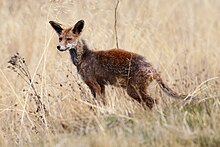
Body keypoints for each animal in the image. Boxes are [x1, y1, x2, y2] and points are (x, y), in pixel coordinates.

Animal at [49, 19, 188, 109]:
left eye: (69, 39)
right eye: (60, 38)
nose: (58, 47)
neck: (83, 58)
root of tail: (152, 68)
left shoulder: (94, 85)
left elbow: (98, 104)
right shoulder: (101, 86)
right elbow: (103, 103)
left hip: (132, 91)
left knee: (153, 102)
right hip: (135, 92)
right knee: (150, 103)